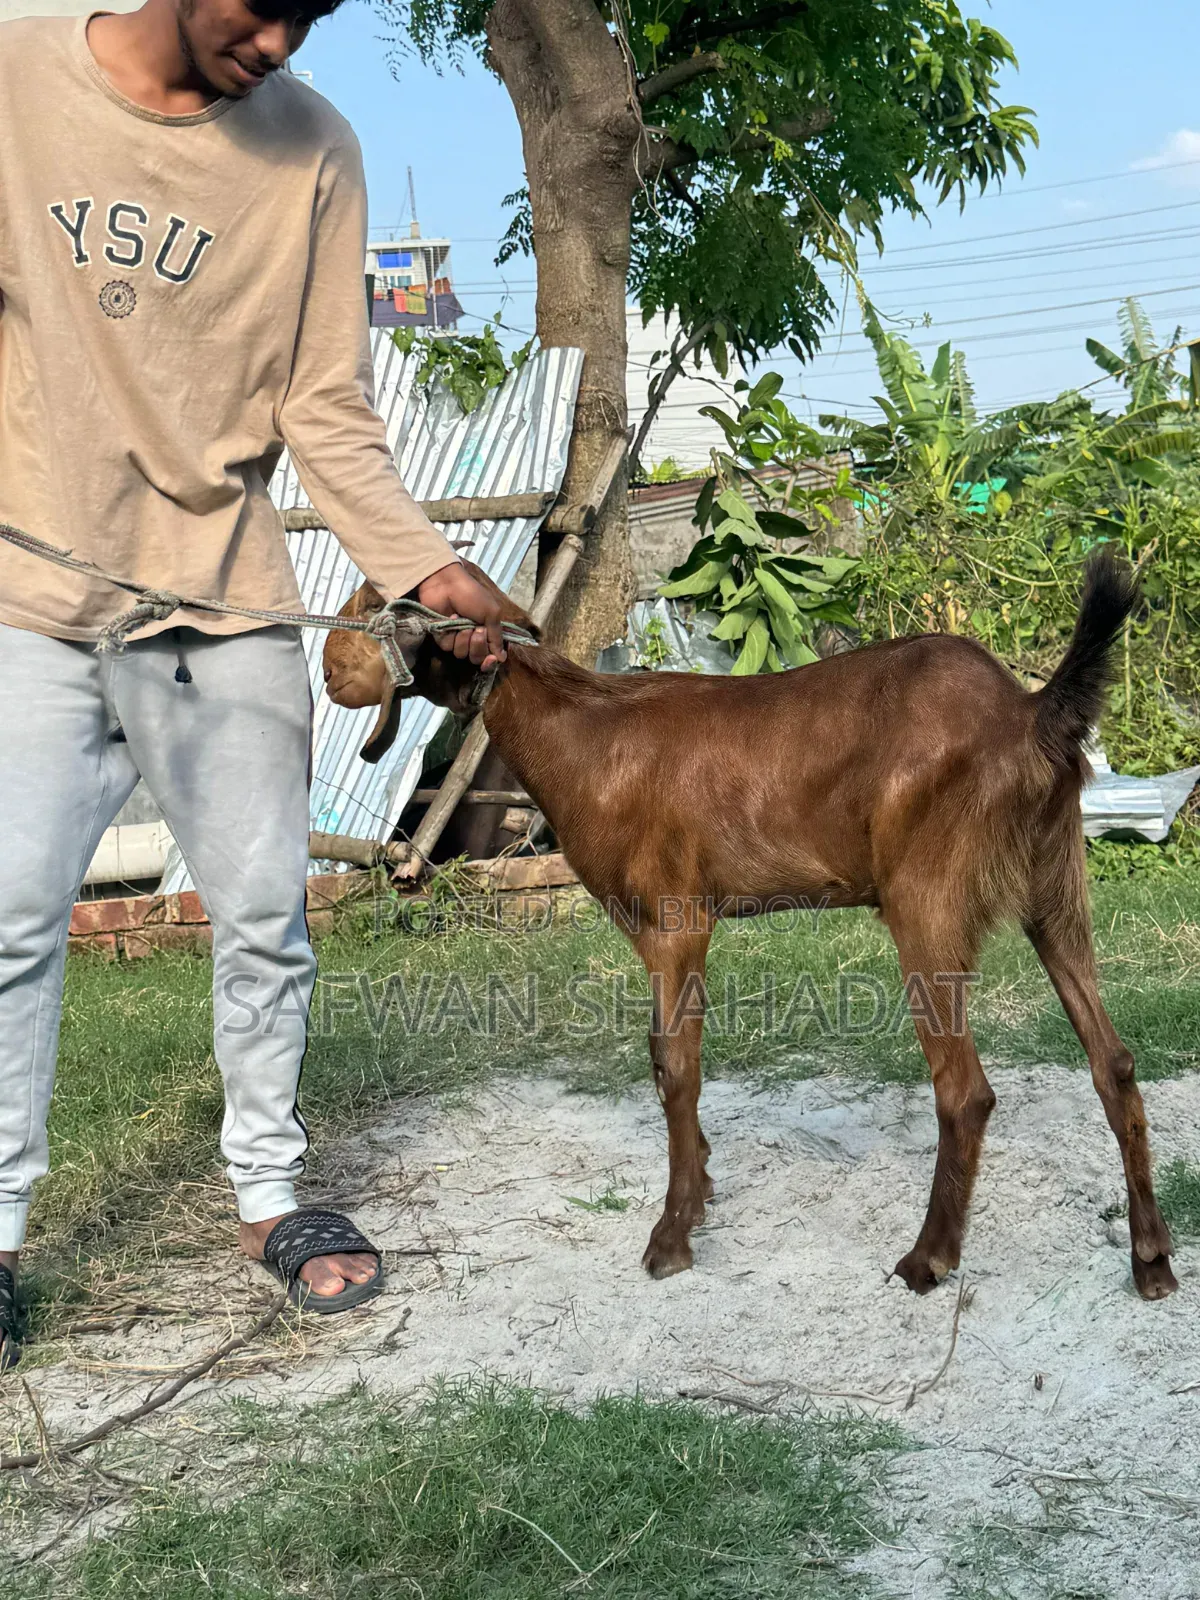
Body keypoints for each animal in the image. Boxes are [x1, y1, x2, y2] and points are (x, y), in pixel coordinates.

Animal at [323, 552, 1177, 1301]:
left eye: (376, 608)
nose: (329, 671)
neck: (586, 733)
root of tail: (1029, 713)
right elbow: (663, 1053)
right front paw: (699, 1187)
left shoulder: (673, 916)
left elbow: (675, 1065)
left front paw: (672, 1235)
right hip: (1055, 888)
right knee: (1113, 1061)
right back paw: (1152, 1259)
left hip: (928, 896)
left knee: (965, 1091)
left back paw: (929, 1257)